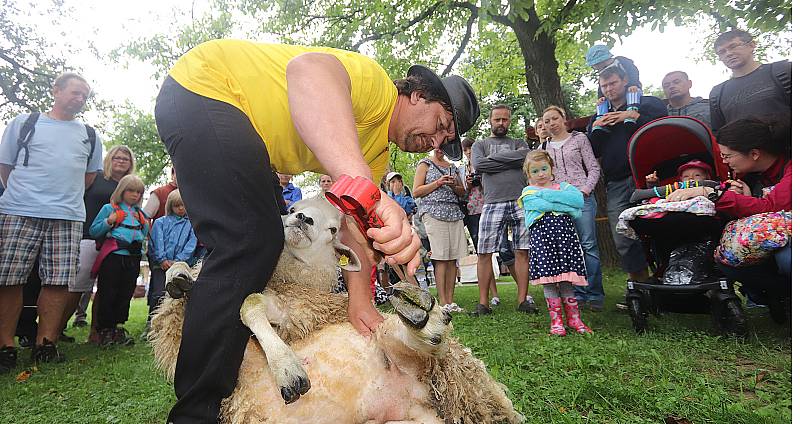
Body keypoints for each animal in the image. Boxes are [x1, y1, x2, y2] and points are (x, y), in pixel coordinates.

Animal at [150, 196, 524, 424]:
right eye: (292, 207)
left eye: (333, 229)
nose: (303, 219)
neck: (290, 277)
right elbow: (205, 297)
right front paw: (179, 276)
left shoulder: (296, 309)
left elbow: (248, 303)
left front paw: (287, 368)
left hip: (407, 349)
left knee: (421, 343)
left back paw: (422, 319)